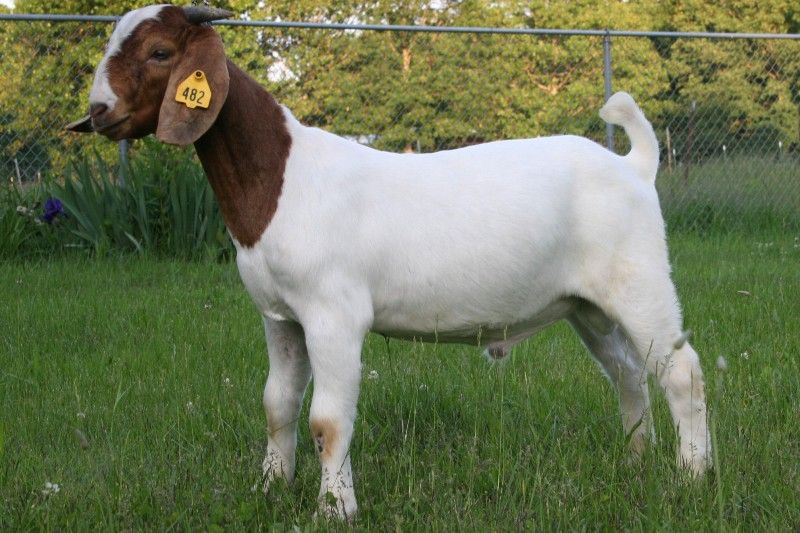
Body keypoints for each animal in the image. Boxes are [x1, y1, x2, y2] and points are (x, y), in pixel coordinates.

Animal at [68, 5, 711, 520]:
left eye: (159, 51)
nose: (98, 111)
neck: (282, 179)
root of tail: (633, 166)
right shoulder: (280, 317)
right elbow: (277, 405)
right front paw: (271, 488)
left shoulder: (333, 314)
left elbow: (327, 420)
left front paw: (335, 509)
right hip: (587, 305)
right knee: (628, 372)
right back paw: (636, 461)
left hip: (641, 283)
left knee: (680, 371)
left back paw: (692, 476)